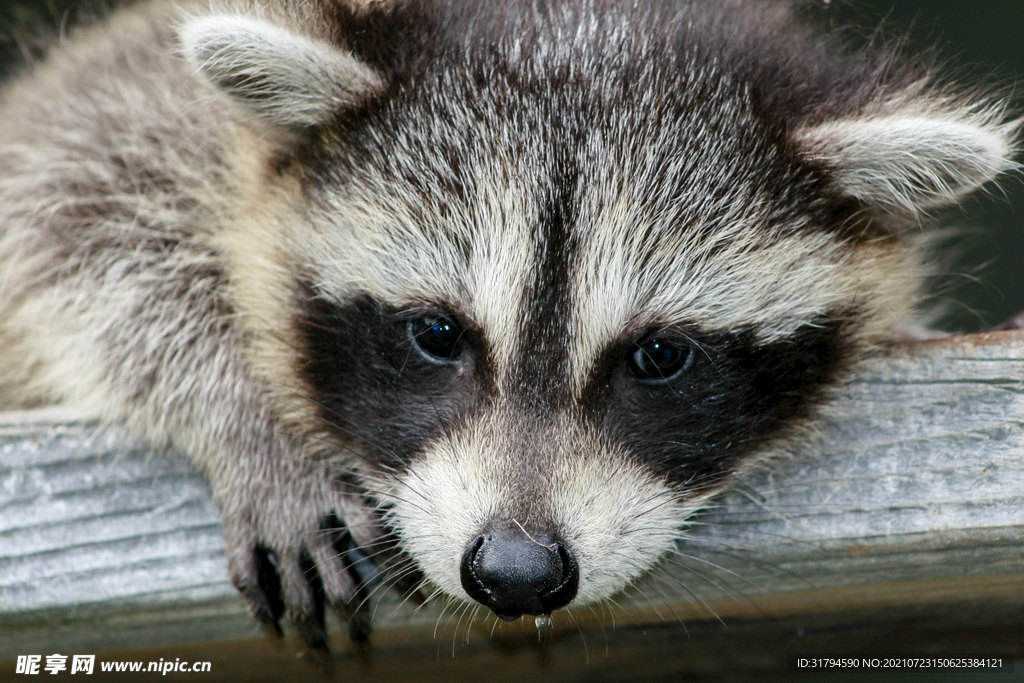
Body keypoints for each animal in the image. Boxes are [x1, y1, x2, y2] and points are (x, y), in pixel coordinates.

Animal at [0, 0, 1011, 651]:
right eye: (437, 335)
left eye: (661, 357)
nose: (517, 572)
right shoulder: (136, 105)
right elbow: (70, 201)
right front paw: (249, 412)